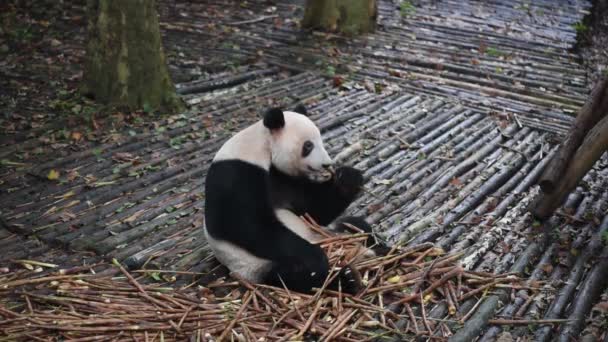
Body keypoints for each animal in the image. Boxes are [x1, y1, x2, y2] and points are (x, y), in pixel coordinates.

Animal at [202, 105, 378, 294]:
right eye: (308, 145)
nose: (326, 164)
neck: (262, 145)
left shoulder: (285, 179)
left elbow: (313, 212)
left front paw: (348, 178)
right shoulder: (237, 173)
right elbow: (249, 226)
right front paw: (314, 256)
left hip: (330, 231)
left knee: (357, 226)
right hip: (255, 266)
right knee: (297, 275)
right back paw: (346, 279)